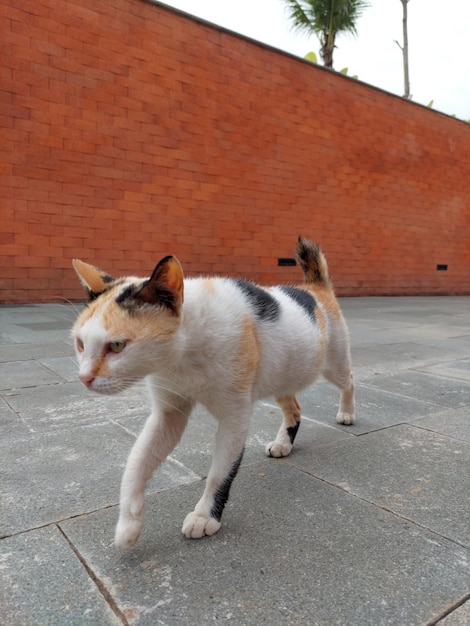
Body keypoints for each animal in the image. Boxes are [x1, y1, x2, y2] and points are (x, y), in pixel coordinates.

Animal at [71, 236, 354, 548]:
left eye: (117, 345)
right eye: (80, 343)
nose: (84, 377)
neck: (184, 358)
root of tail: (314, 289)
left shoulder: (234, 417)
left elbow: (219, 473)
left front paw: (205, 516)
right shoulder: (168, 413)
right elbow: (136, 464)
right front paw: (128, 526)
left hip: (333, 364)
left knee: (349, 381)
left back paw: (346, 413)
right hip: (282, 376)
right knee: (294, 408)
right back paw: (283, 444)